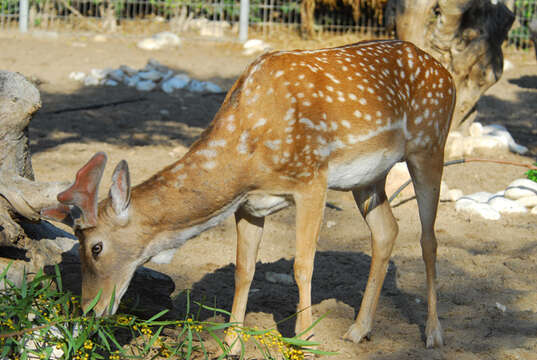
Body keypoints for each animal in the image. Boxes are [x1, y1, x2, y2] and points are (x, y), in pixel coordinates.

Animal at [42, 39, 454, 352]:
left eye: (95, 247)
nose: (89, 310)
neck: (247, 158)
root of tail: (447, 73)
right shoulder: (249, 205)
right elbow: (244, 270)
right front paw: (231, 344)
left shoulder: (312, 180)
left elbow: (303, 265)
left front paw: (306, 340)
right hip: (367, 178)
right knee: (386, 231)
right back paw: (358, 329)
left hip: (429, 145)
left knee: (428, 238)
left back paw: (434, 333)